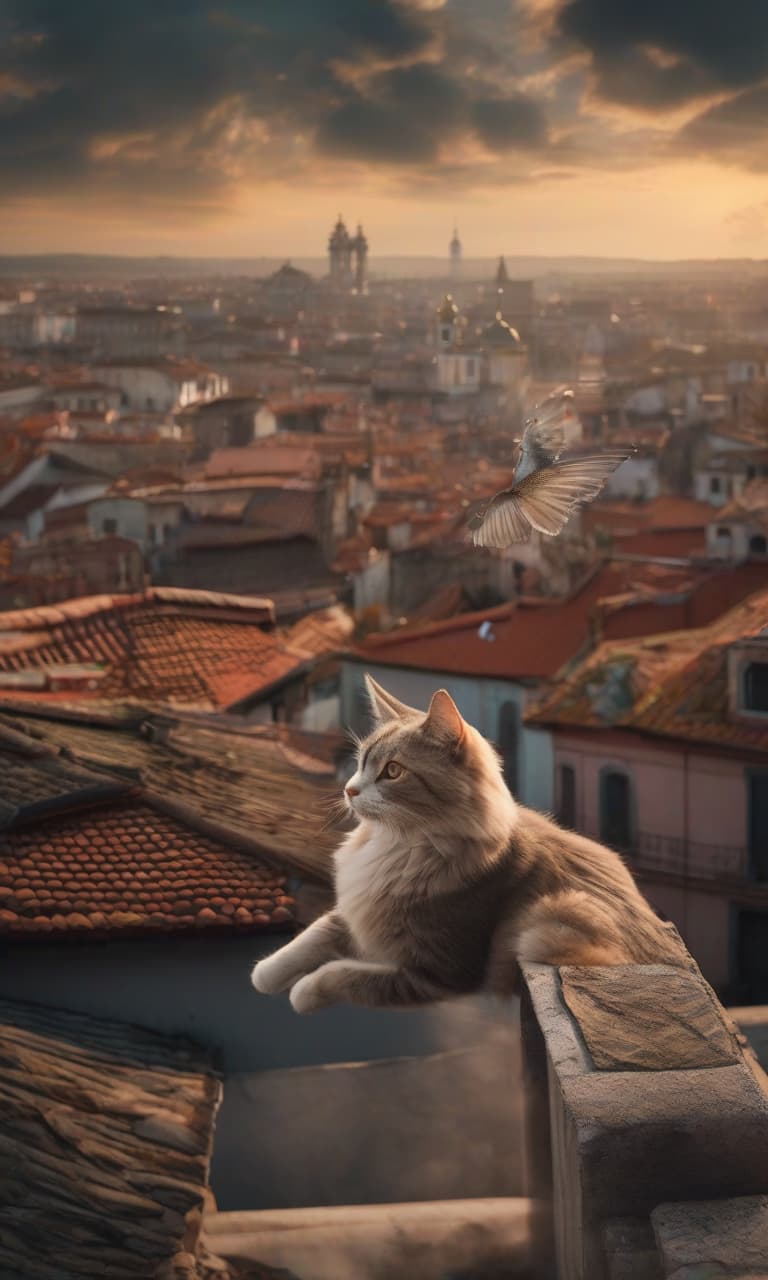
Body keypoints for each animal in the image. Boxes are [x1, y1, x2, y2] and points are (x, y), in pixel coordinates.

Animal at [252, 675, 686, 1013]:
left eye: (392, 771)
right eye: (360, 763)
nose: (349, 789)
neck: (398, 848)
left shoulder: (437, 974)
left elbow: (342, 974)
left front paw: (302, 992)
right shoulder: (358, 908)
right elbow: (313, 934)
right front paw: (264, 973)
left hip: (550, 923)